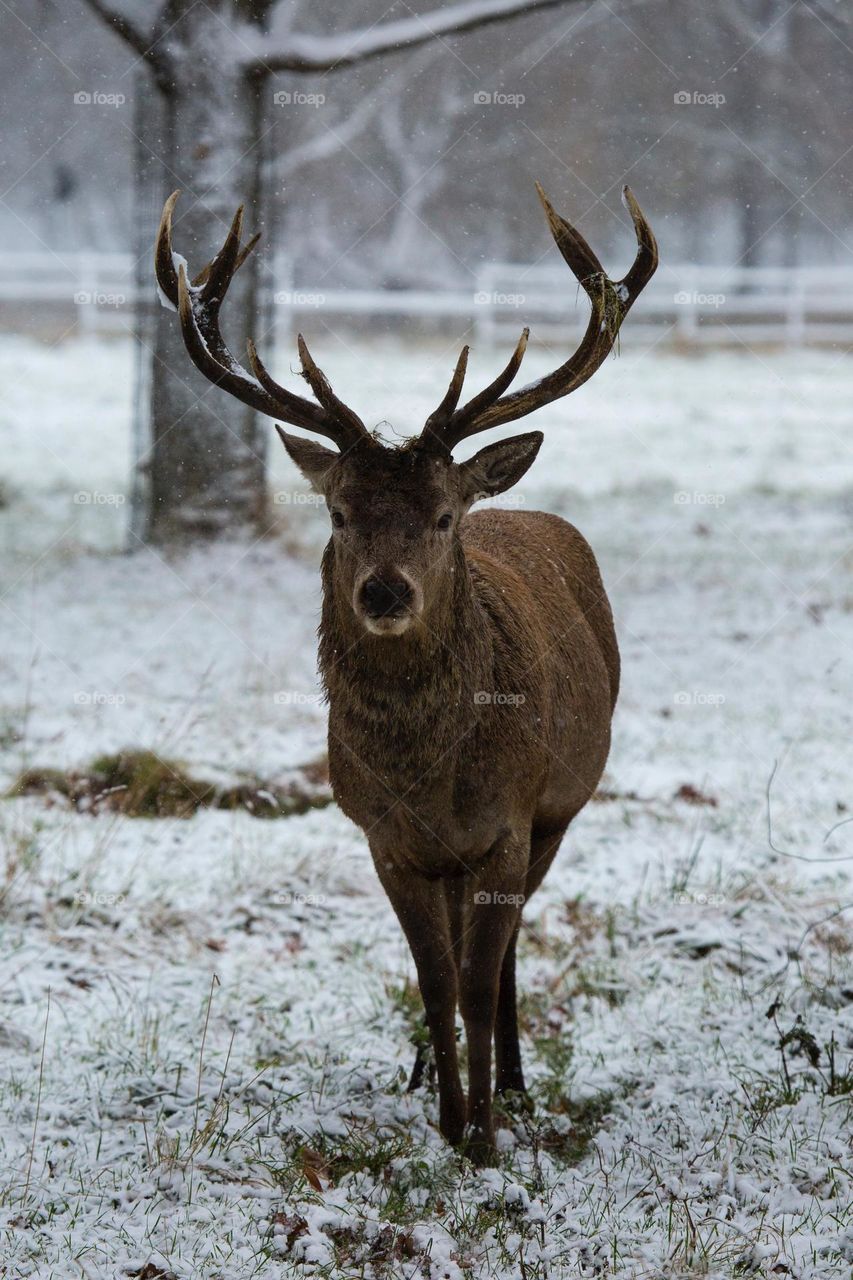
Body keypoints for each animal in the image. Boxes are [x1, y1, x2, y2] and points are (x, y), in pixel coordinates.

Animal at [155, 183, 657, 1164]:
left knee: (505, 949)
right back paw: (428, 1073)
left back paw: (513, 1082)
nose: (384, 591)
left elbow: (476, 978)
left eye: (441, 515)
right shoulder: (383, 839)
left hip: (560, 808)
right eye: (339, 511)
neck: (431, 782)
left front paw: (485, 1137)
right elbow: (432, 981)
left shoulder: (509, 821)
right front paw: (446, 1120)